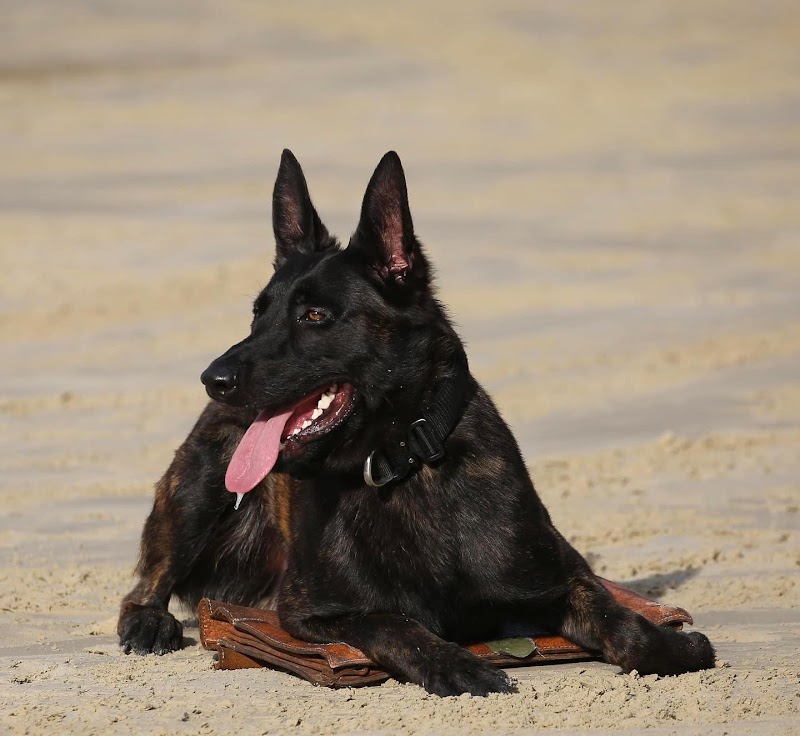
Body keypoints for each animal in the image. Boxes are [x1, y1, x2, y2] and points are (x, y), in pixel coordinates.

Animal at [118, 151, 715, 696]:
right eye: (257, 315)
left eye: (315, 315)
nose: (212, 379)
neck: (403, 460)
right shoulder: (314, 612)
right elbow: (395, 623)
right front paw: (454, 664)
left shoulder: (564, 579)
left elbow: (624, 625)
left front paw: (675, 646)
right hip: (198, 489)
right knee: (147, 581)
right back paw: (147, 621)